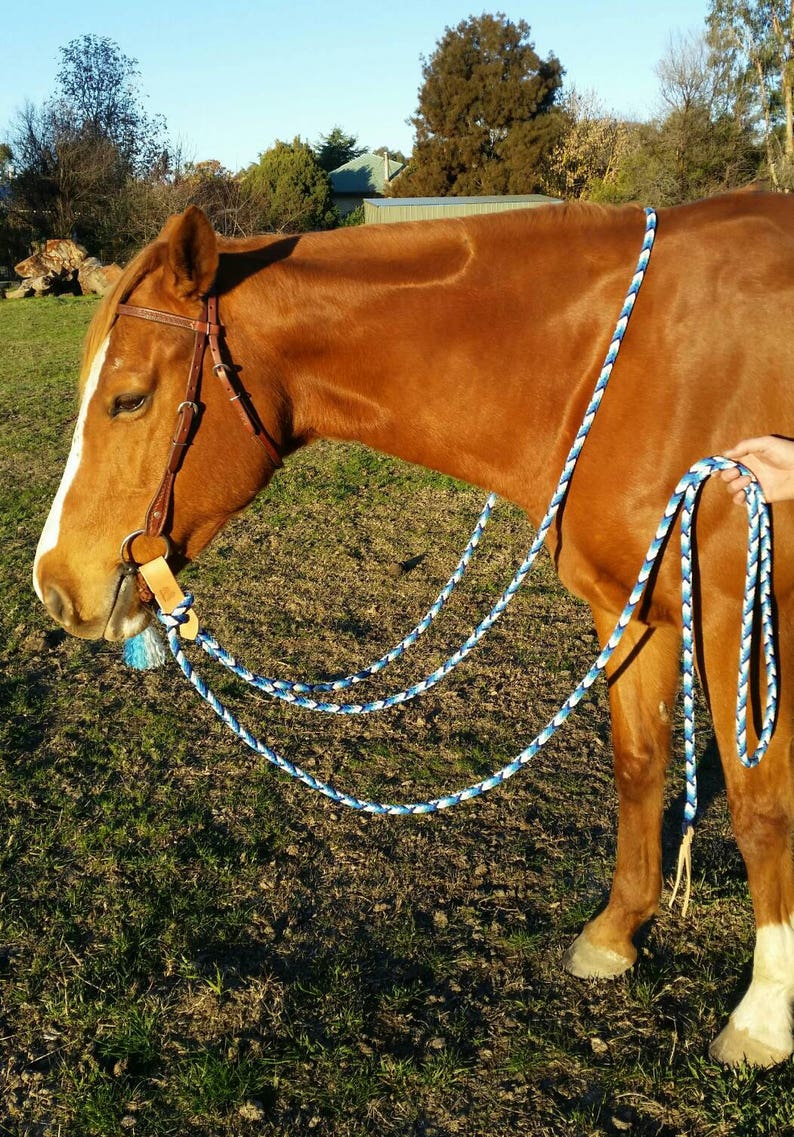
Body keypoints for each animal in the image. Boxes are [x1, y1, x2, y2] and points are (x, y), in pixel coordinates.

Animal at [33, 191, 791, 1068]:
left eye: (128, 398)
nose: (55, 585)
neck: (640, 370)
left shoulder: (742, 614)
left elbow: (761, 809)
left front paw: (764, 1013)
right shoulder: (629, 606)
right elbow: (639, 764)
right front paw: (615, 934)